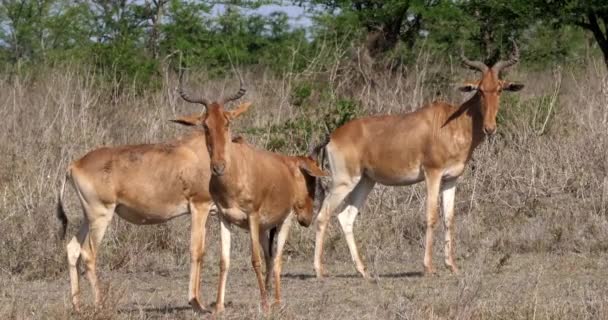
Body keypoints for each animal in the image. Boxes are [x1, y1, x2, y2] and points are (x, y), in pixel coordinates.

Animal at [55, 87, 246, 312]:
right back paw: (100, 304)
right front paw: (196, 303)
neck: (200, 154)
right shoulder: (199, 207)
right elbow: (197, 251)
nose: (219, 167)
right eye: (205, 124)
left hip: (88, 217)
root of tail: (74, 165)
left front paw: (217, 306)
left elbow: (221, 256)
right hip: (101, 216)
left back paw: (77, 305)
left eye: (227, 122)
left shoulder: (217, 213)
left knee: (72, 249)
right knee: (88, 254)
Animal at [176, 77, 328, 312]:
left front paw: (264, 305)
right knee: (269, 257)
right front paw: (218, 306)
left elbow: (255, 260)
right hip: (266, 228)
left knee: (277, 258)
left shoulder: (253, 216)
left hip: (284, 221)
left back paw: (275, 301)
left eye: (227, 122)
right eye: (205, 124)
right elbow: (224, 261)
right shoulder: (224, 218)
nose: (218, 167)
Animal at [314, 42, 524, 278]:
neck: (451, 121)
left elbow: (449, 218)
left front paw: (452, 265)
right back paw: (319, 270)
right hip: (343, 181)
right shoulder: (432, 174)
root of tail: (332, 137)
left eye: (499, 88)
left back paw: (362, 270)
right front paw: (428, 267)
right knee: (323, 215)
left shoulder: (451, 179)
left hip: (365, 181)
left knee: (346, 217)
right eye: (479, 89)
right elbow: (431, 216)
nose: (490, 128)